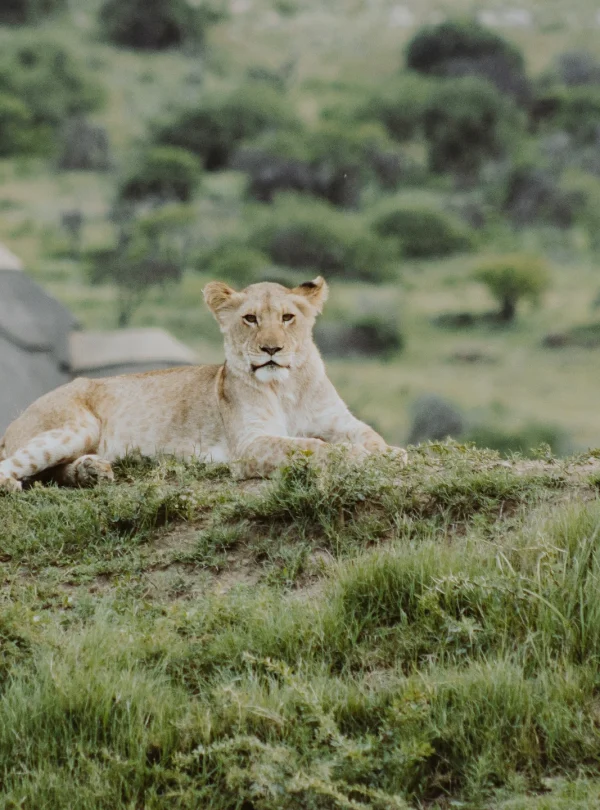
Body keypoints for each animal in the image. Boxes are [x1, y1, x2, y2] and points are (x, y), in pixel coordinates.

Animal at [0, 276, 406, 491]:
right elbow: (309, 446)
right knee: (13, 465)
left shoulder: (339, 420)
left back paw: (92, 471)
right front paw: (356, 457)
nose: (271, 349)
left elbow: (370, 435)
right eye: (250, 319)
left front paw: (390, 453)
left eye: (288, 317)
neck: (287, 387)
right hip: (76, 426)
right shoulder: (250, 444)